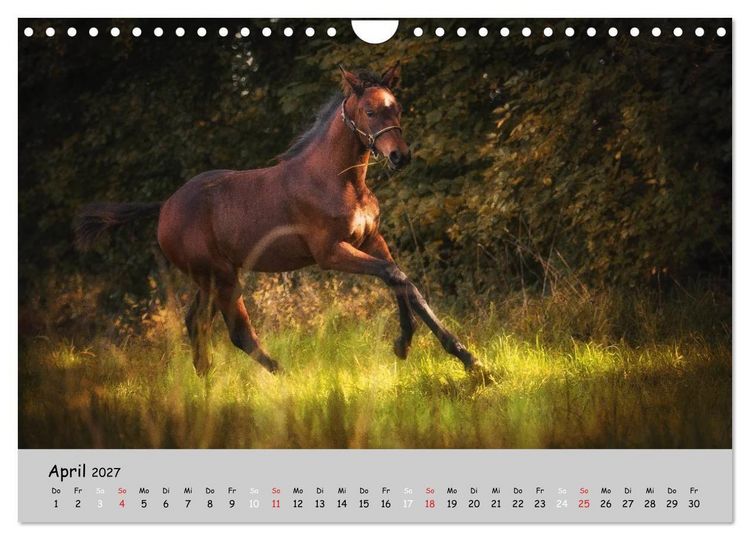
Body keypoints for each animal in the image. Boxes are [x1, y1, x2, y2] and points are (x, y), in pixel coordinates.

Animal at [76, 63, 479, 375]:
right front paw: (414, 345)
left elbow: (403, 282)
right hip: (222, 278)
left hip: (209, 277)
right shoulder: (330, 253)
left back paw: (206, 386)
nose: (400, 157)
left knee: (196, 323)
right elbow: (394, 276)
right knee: (238, 333)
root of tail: (165, 207)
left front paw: (458, 355)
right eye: (369, 111)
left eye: (398, 107)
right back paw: (286, 379)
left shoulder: (371, 240)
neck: (337, 179)